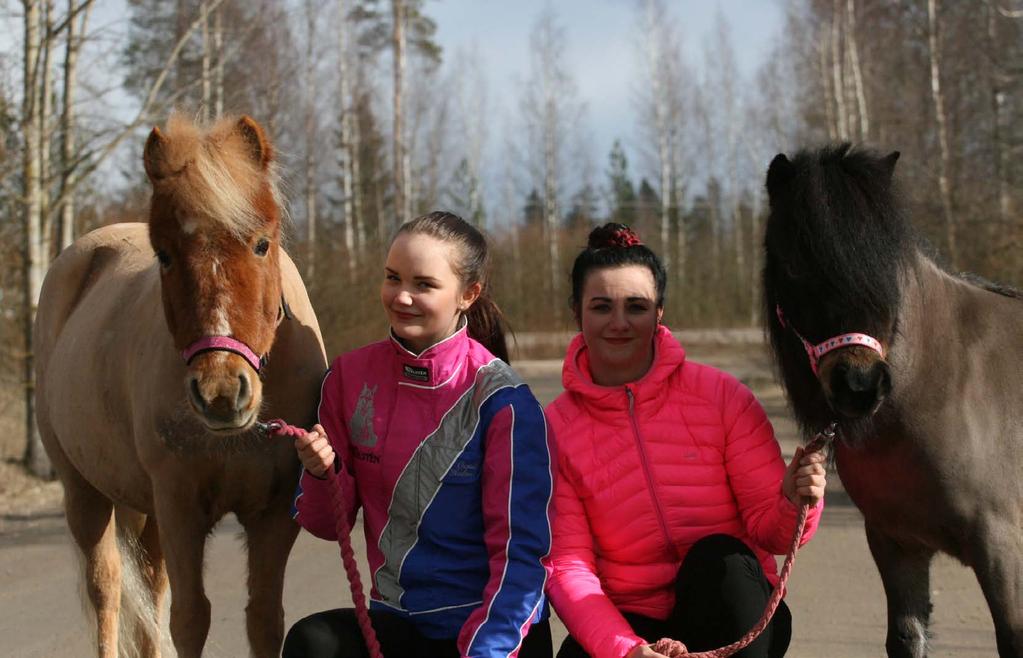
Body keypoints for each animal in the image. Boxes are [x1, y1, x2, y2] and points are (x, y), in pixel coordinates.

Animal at [36, 115, 325, 654]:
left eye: (261, 243)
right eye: (165, 255)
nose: (220, 393)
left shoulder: (275, 515)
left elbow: (264, 617)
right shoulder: (179, 509)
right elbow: (191, 619)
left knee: (150, 588)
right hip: (85, 494)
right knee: (108, 590)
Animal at [765, 145, 1018, 658]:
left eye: (884, 268)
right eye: (794, 267)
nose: (860, 386)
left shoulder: (1005, 551)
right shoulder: (896, 543)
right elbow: (905, 638)